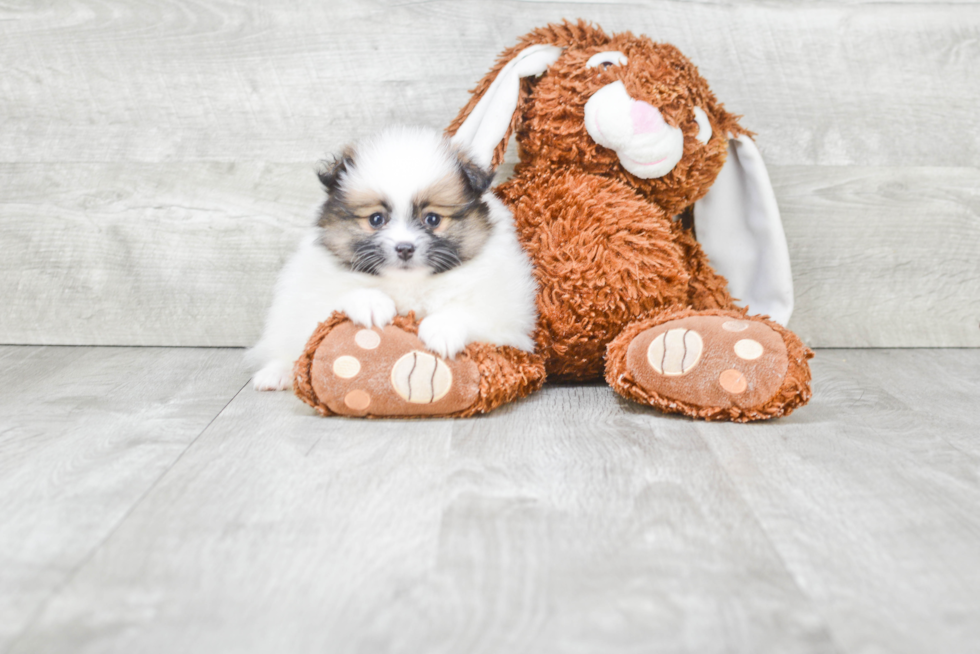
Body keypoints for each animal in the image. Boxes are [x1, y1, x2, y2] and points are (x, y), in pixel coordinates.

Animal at [245, 126, 536, 392]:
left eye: (432, 219)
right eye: (376, 219)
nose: (404, 248)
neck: (408, 284)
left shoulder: (506, 313)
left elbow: (469, 311)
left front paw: (442, 329)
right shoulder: (313, 294)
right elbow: (341, 295)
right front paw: (371, 304)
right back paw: (275, 373)